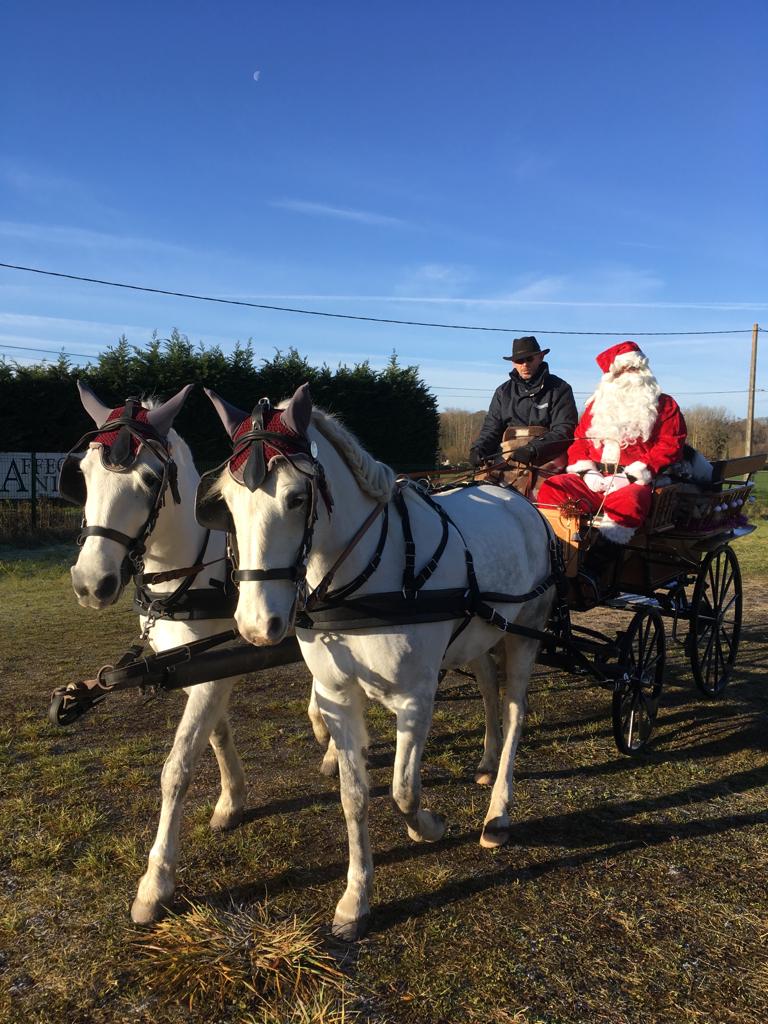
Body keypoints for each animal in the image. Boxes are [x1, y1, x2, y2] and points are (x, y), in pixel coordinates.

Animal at [201, 382, 557, 937]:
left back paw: (498, 812)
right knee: (488, 688)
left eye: (297, 498)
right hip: (479, 635)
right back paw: (485, 759)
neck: (369, 579)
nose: (258, 625)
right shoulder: (337, 698)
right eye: (228, 503)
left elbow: (404, 789)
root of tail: (517, 499)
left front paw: (427, 828)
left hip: (527, 634)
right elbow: (354, 797)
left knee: (516, 708)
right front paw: (356, 898)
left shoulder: (415, 698)